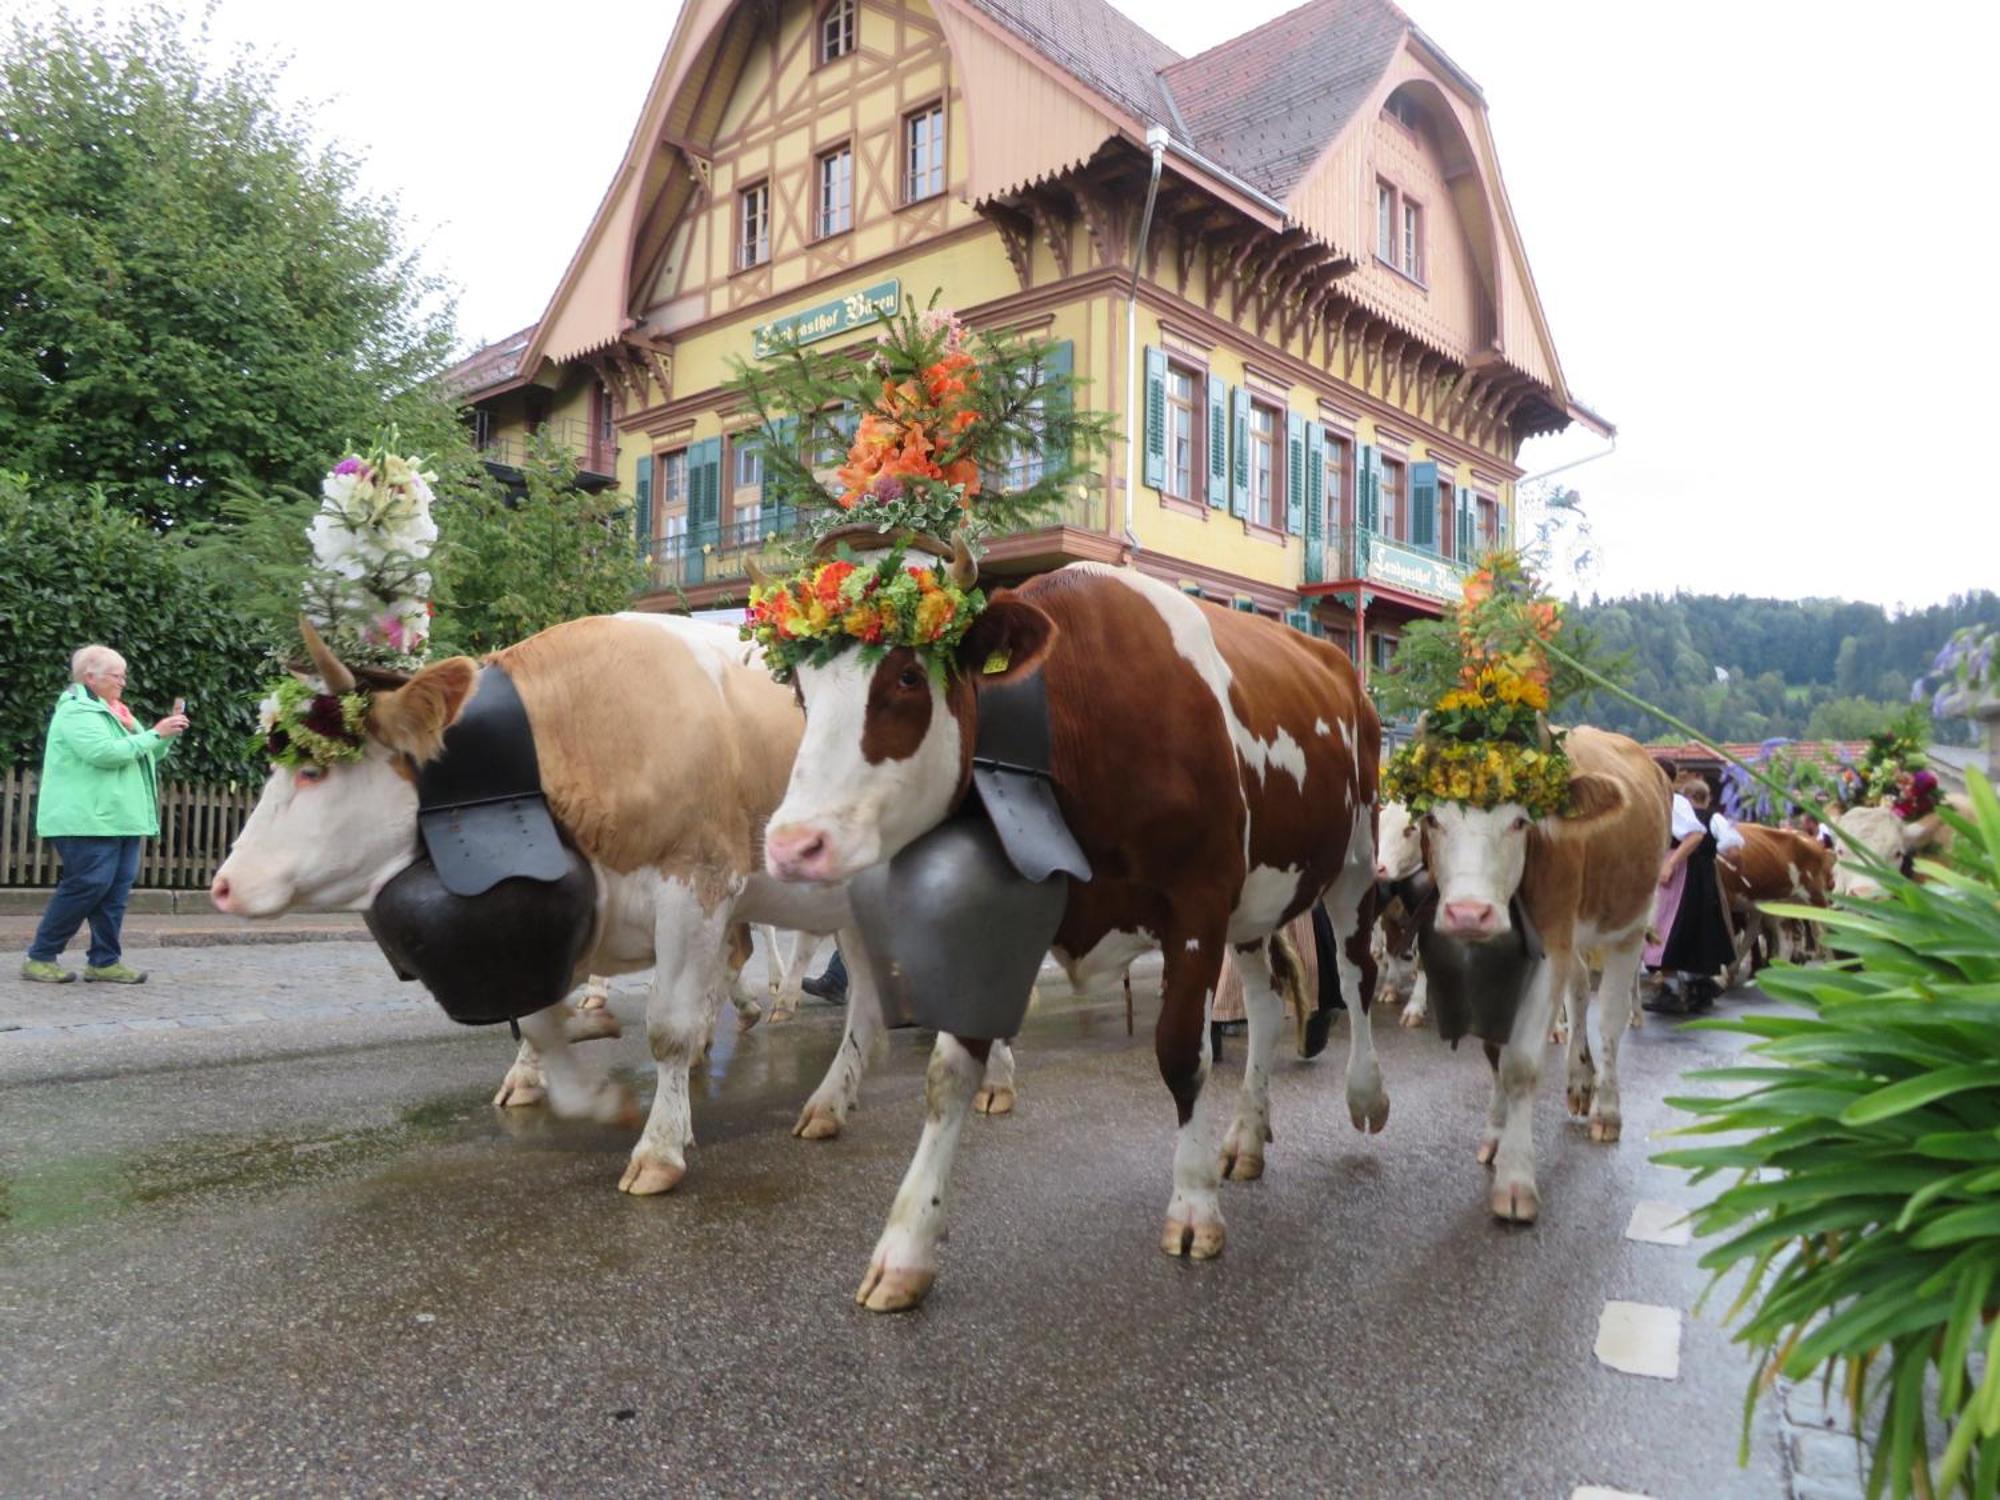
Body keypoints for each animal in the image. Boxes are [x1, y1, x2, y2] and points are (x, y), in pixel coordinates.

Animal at [211, 612, 1016, 1200]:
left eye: (314, 771)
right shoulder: (571, 912)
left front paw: (657, 1147)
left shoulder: (699, 884)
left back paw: (991, 1082)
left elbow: (667, 1029)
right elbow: (539, 1020)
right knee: (865, 1003)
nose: (223, 884)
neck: (568, 742)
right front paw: (588, 1093)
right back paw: (828, 1100)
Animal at [756, 560, 1384, 1312]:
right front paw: (905, 1248)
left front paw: (1193, 1208)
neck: (1070, 727)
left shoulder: (1198, 905)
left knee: (1358, 971)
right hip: (1258, 902)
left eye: (907, 676)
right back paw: (1246, 1138)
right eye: (800, 687)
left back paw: (1365, 1096)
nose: (793, 845)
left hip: (1355, 856)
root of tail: (1338, 664)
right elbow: (948, 1076)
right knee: (1263, 1006)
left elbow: (1183, 1053)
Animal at [1400, 724, 1664, 1224]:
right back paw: (1580, 1079)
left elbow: (1520, 1064)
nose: (1470, 913)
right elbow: (1494, 1053)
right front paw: (1495, 1134)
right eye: (1431, 818)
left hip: (1629, 927)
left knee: (1611, 1020)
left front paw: (1516, 1180)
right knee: (1579, 990)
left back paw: (1606, 1109)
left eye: (1520, 822)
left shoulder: (1551, 946)